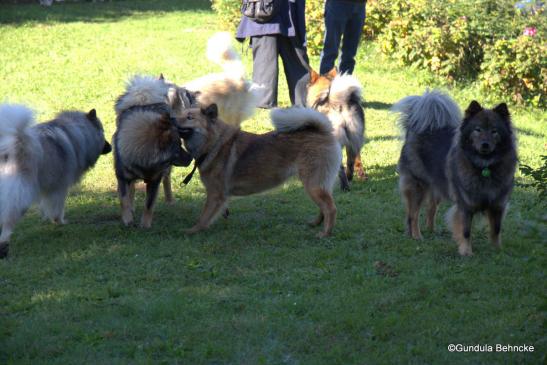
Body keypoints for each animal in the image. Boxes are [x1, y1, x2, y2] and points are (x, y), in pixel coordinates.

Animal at [171, 93, 342, 236]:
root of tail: (323, 132)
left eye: (189, 117)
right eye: (180, 114)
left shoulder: (215, 194)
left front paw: (192, 230)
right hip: (317, 184)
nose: (171, 118)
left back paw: (325, 233)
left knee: (331, 209)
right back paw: (315, 224)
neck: (214, 143)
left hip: (313, 185)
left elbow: (203, 217)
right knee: (324, 207)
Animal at [394, 89, 520, 255]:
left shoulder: (498, 205)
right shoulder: (465, 206)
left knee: (430, 209)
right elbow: (465, 231)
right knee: (413, 215)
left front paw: (497, 250)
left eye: (494, 131)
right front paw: (467, 252)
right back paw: (417, 236)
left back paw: (432, 232)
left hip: (437, 187)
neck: (484, 167)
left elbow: (496, 230)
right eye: (477, 130)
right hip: (418, 186)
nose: (485, 144)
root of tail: (416, 127)